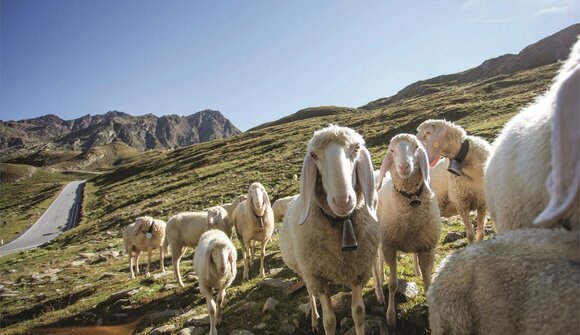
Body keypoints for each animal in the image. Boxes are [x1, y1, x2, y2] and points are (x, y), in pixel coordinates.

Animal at [278, 124, 378, 334]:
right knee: (310, 293)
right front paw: (323, 322)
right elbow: (330, 321)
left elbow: (359, 313)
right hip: (305, 271)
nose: (343, 201)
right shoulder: (318, 277)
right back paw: (314, 319)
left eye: (356, 148)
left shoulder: (359, 272)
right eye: (314, 155)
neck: (342, 223)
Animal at [374, 133, 442, 328]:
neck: (411, 199)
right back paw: (379, 291)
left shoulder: (427, 247)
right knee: (375, 264)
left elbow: (427, 281)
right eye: (392, 150)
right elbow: (393, 284)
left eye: (416, 147)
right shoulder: (390, 246)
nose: (404, 166)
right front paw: (390, 316)